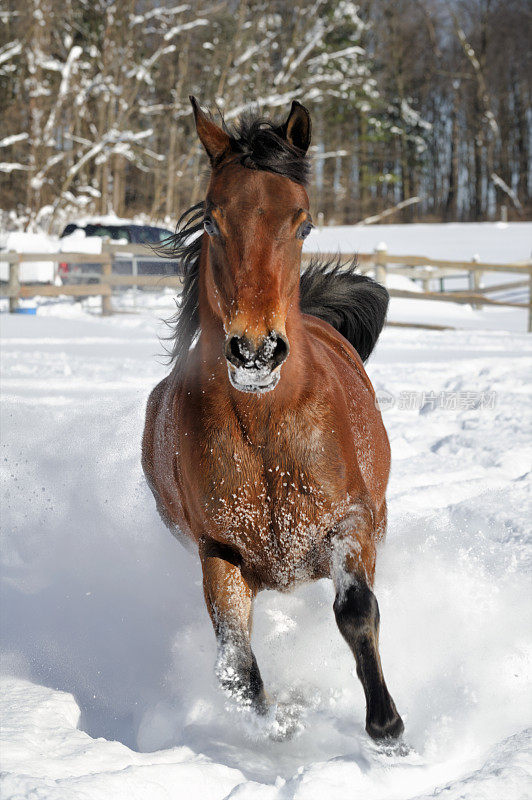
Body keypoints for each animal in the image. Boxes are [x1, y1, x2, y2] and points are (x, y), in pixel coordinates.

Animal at [141, 97, 404, 740]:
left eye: (302, 223)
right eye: (213, 221)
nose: (255, 351)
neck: (267, 436)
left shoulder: (350, 522)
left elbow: (356, 611)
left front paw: (386, 727)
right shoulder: (219, 551)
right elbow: (237, 666)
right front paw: (280, 730)